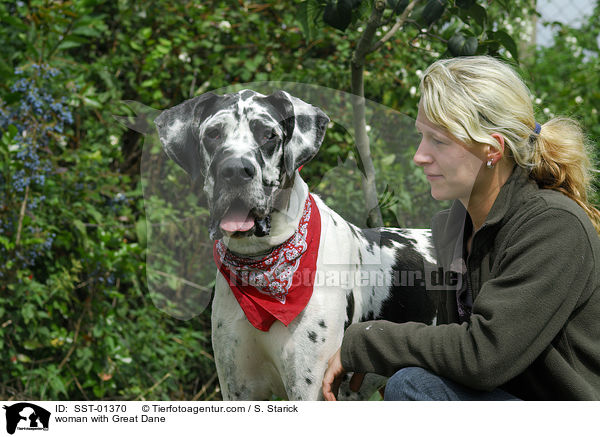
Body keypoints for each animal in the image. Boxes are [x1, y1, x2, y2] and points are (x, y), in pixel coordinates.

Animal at [155, 88, 436, 398]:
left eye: (268, 135)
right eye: (213, 134)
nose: (235, 170)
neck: (265, 263)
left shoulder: (309, 386)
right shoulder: (237, 388)